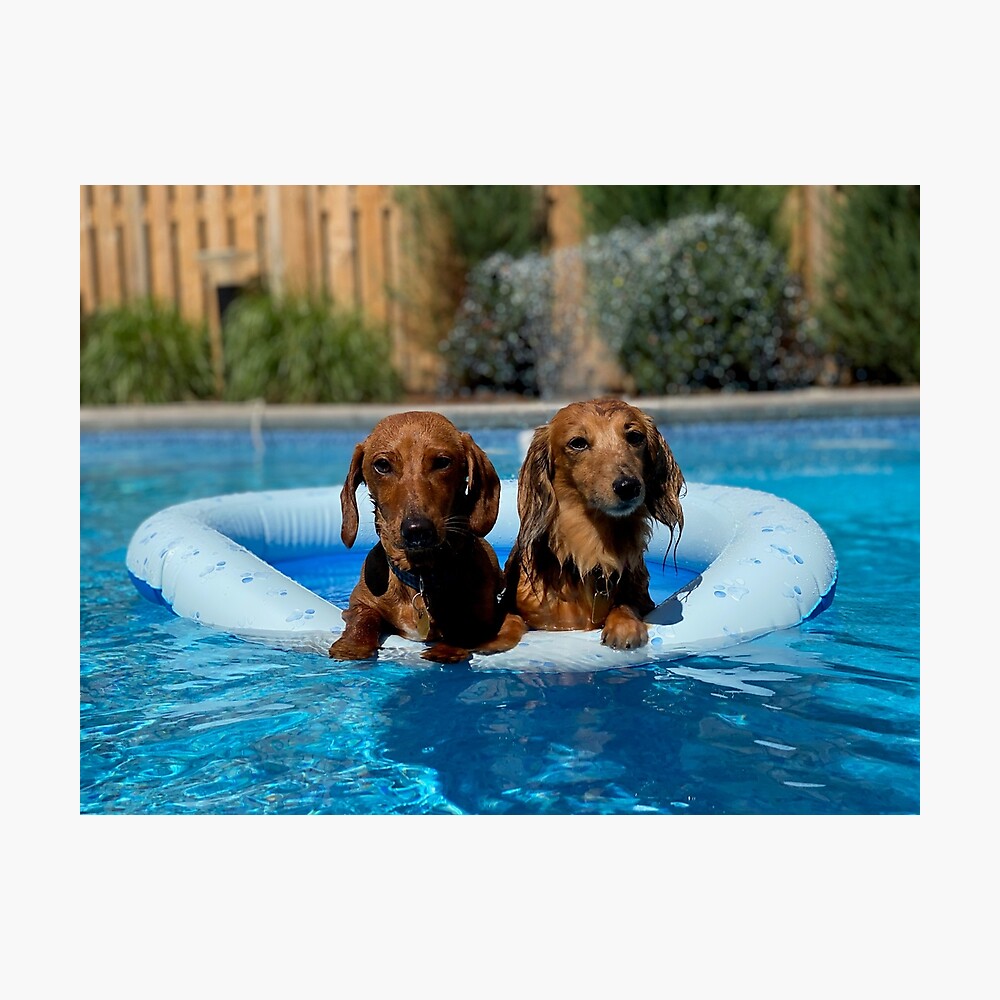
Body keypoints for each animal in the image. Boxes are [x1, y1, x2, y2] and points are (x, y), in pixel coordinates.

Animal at [329, 410, 526, 664]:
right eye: (382, 465)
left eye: (442, 462)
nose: (417, 530)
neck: (421, 577)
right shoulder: (359, 602)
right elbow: (364, 617)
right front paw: (353, 645)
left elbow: (469, 628)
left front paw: (448, 648)